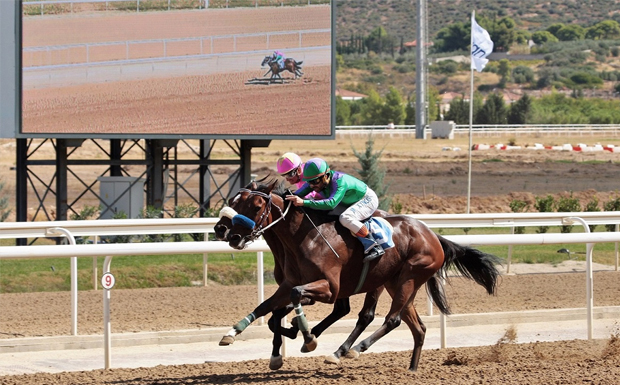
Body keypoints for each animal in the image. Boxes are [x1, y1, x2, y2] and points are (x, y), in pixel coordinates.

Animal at [217, 182, 498, 370]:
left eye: (255, 206)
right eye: (233, 201)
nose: (228, 233)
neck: (304, 238)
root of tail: (432, 235)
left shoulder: (329, 288)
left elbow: (293, 302)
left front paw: (308, 337)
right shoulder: (289, 284)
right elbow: (268, 308)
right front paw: (235, 333)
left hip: (407, 278)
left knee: (386, 318)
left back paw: (349, 350)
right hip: (395, 283)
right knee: (417, 327)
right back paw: (411, 368)